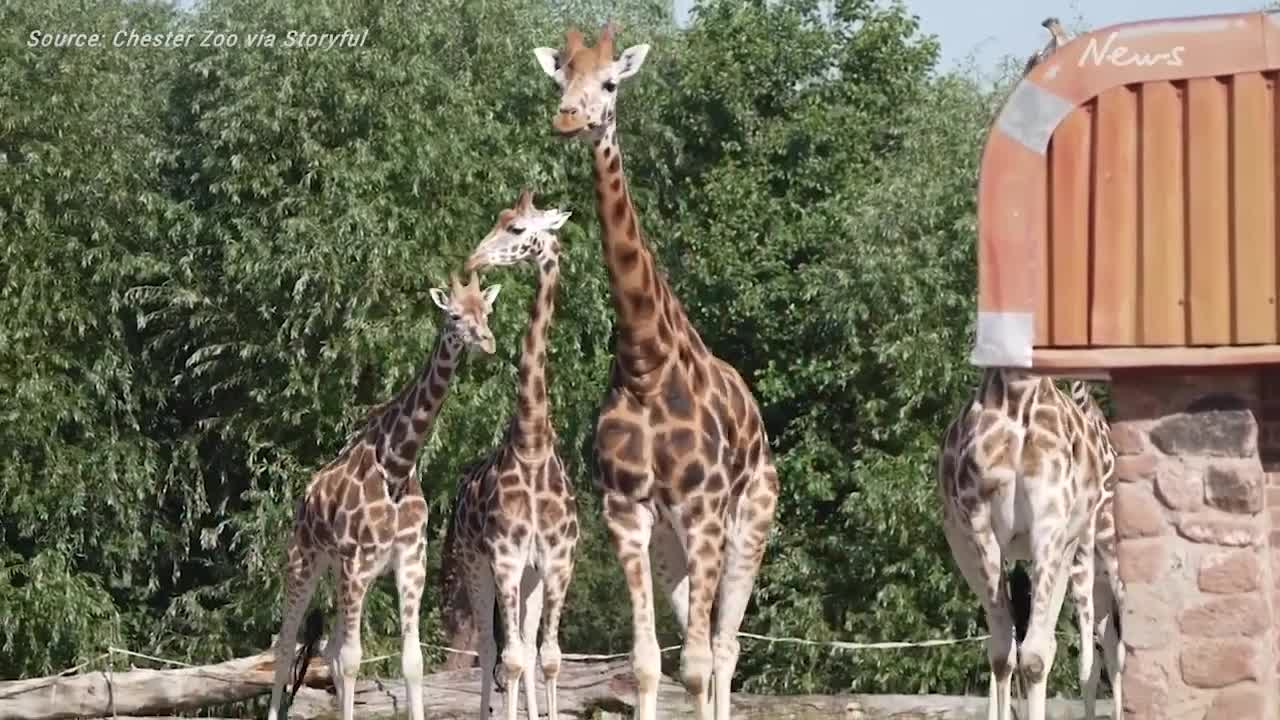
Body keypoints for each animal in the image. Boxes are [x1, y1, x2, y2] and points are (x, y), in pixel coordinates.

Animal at [264, 269, 499, 717]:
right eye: (455, 316)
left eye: (487, 311)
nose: (488, 342)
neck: (397, 465)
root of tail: (305, 498)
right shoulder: (356, 564)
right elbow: (352, 659)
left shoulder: (410, 562)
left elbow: (412, 661)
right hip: (305, 561)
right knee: (286, 647)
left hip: (343, 573)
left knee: (329, 649)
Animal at [532, 22, 778, 717]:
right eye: (560, 78)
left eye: (611, 82)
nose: (569, 117)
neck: (646, 363)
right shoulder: (627, 513)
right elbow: (645, 664)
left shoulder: (704, 510)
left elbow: (694, 666)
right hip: (674, 547)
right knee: (711, 645)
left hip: (749, 522)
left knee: (724, 648)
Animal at [936, 366, 1116, 717]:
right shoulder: (981, 523)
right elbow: (1003, 655)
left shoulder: (1049, 523)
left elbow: (1034, 658)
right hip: (968, 551)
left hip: (1089, 553)